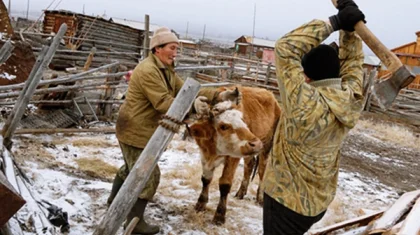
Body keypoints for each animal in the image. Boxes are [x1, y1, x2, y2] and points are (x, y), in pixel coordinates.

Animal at [186, 86, 278, 224]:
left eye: (242, 120)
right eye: (223, 126)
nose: (256, 144)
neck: (213, 151)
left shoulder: (233, 157)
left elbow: (225, 184)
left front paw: (220, 215)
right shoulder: (204, 154)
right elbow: (206, 179)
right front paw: (200, 204)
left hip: (267, 145)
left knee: (262, 171)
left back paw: (260, 197)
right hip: (249, 152)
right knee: (249, 166)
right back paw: (241, 192)